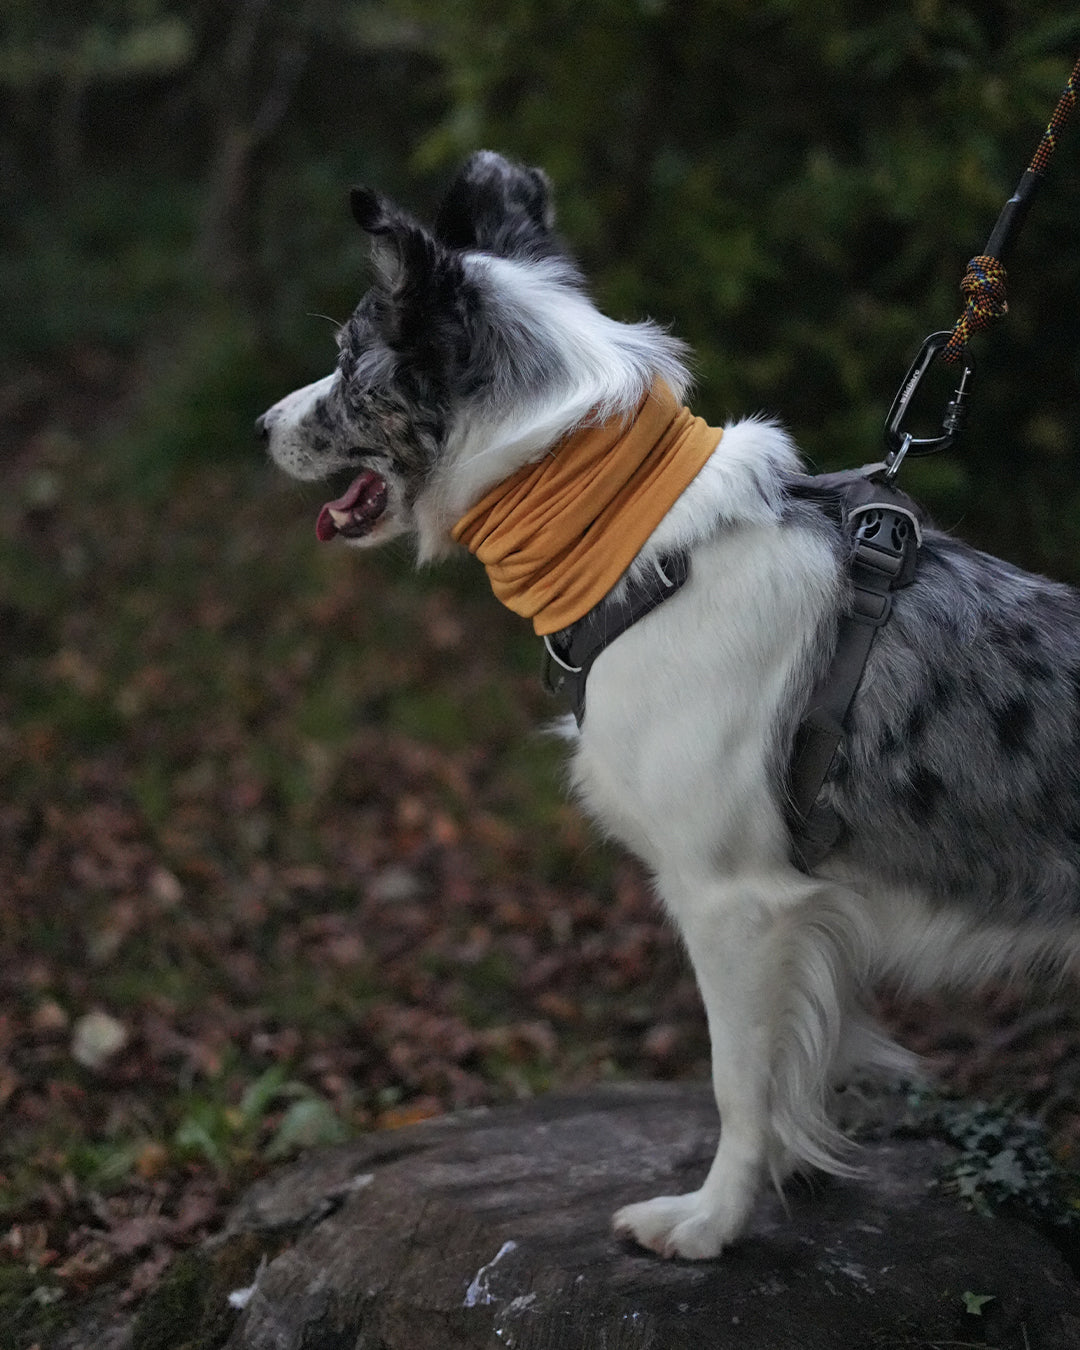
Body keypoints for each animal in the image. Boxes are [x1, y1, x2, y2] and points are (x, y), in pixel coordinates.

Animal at [255, 153, 1080, 1258]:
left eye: (350, 361)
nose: (261, 427)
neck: (644, 555)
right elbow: (791, 1078)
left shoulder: (737, 901)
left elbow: (738, 1084)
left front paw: (712, 1224)